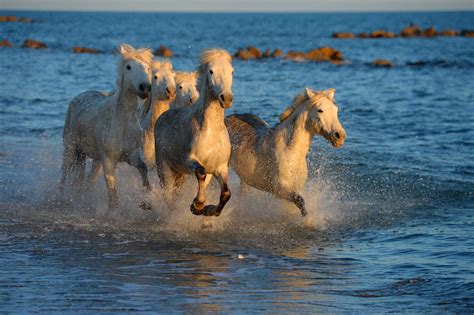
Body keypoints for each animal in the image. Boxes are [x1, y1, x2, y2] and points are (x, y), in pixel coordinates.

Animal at [61, 43, 153, 209]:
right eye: (128, 67)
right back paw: (59, 198)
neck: (122, 124)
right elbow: (113, 195)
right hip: (70, 149)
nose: (145, 88)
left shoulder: (133, 155)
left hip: (93, 159)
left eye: (148, 68)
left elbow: (143, 168)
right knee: (64, 175)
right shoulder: (109, 161)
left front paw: (146, 202)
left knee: (87, 182)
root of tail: (79, 96)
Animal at [155, 48, 234, 217]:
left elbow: (226, 193)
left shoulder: (220, 167)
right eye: (211, 71)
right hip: (165, 171)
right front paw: (198, 204)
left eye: (232, 71)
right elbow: (201, 172)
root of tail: (162, 117)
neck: (211, 131)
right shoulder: (190, 160)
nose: (226, 98)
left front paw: (210, 210)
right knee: (169, 197)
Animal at [224, 88, 346, 217]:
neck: (291, 151)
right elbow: (300, 201)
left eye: (336, 110)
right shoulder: (279, 189)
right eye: (320, 110)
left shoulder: (296, 187)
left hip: (244, 179)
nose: (340, 136)